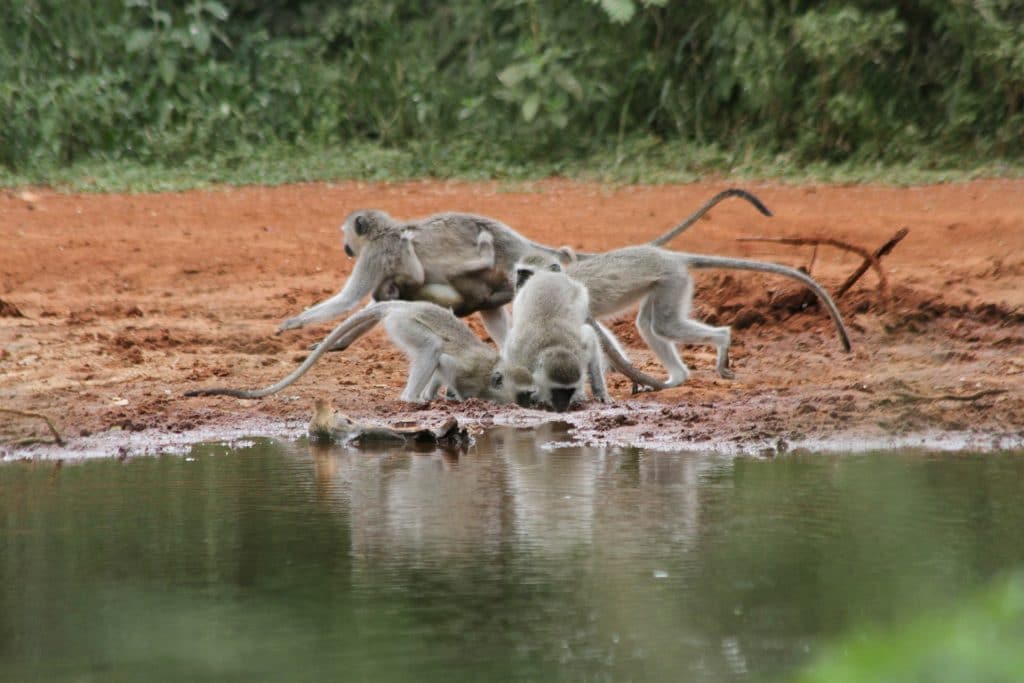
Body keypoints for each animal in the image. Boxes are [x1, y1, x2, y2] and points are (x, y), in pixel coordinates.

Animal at [187, 301, 533, 405]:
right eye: (526, 394)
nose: (536, 403)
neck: (490, 374)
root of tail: (401, 305)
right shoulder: (468, 369)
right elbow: (444, 361)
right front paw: (456, 397)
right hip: (403, 323)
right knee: (432, 348)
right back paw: (410, 400)